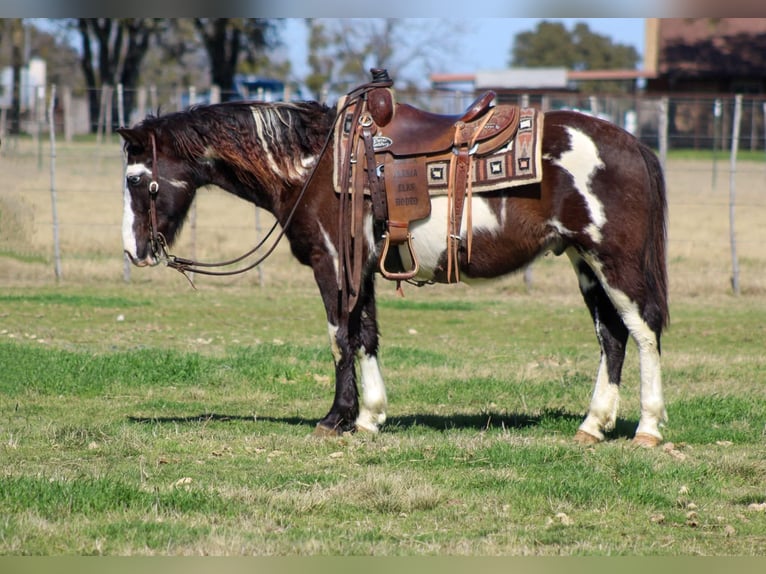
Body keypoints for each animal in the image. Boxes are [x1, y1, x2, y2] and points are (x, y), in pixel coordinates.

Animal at [117, 94, 669, 447]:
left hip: (613, 262)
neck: (317, 165)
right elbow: (366, 335)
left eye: (135, 179)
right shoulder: (361, 269)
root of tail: (632, 143)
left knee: (643, 332)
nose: (134, 251)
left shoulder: (332, 263)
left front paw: (337, 418)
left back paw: (647, 428)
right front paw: (369, 416)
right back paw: (592, 425)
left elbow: (340, 336)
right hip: (583, 263)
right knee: (612, 336)